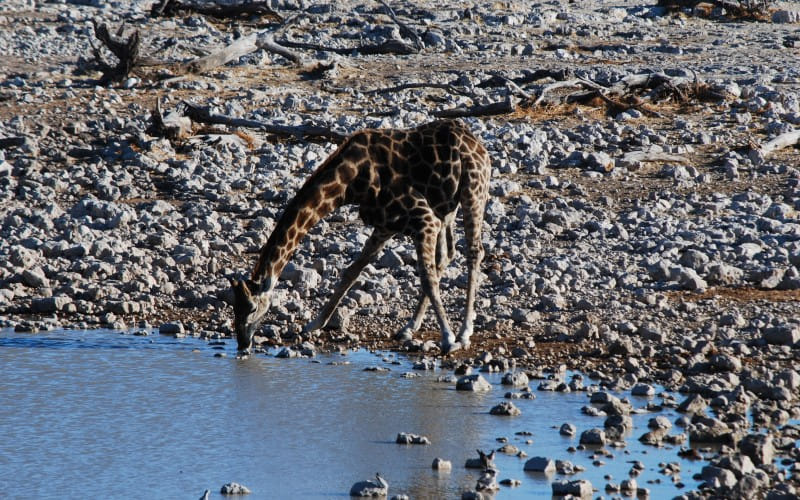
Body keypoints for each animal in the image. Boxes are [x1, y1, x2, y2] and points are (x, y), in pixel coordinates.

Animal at [231, 119, 490, 356]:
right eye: (234, 308)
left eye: (252, 308)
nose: (243, 343)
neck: (349, 181)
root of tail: (477, 143)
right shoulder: (386, 225)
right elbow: (352, 271)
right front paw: (315, 323)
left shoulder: (423, 218)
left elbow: (427, 278)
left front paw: (448, 339)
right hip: (447, 208)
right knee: (447, 254)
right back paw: (409, 327)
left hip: (473, 192)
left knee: (474, 252)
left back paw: (464, 332)